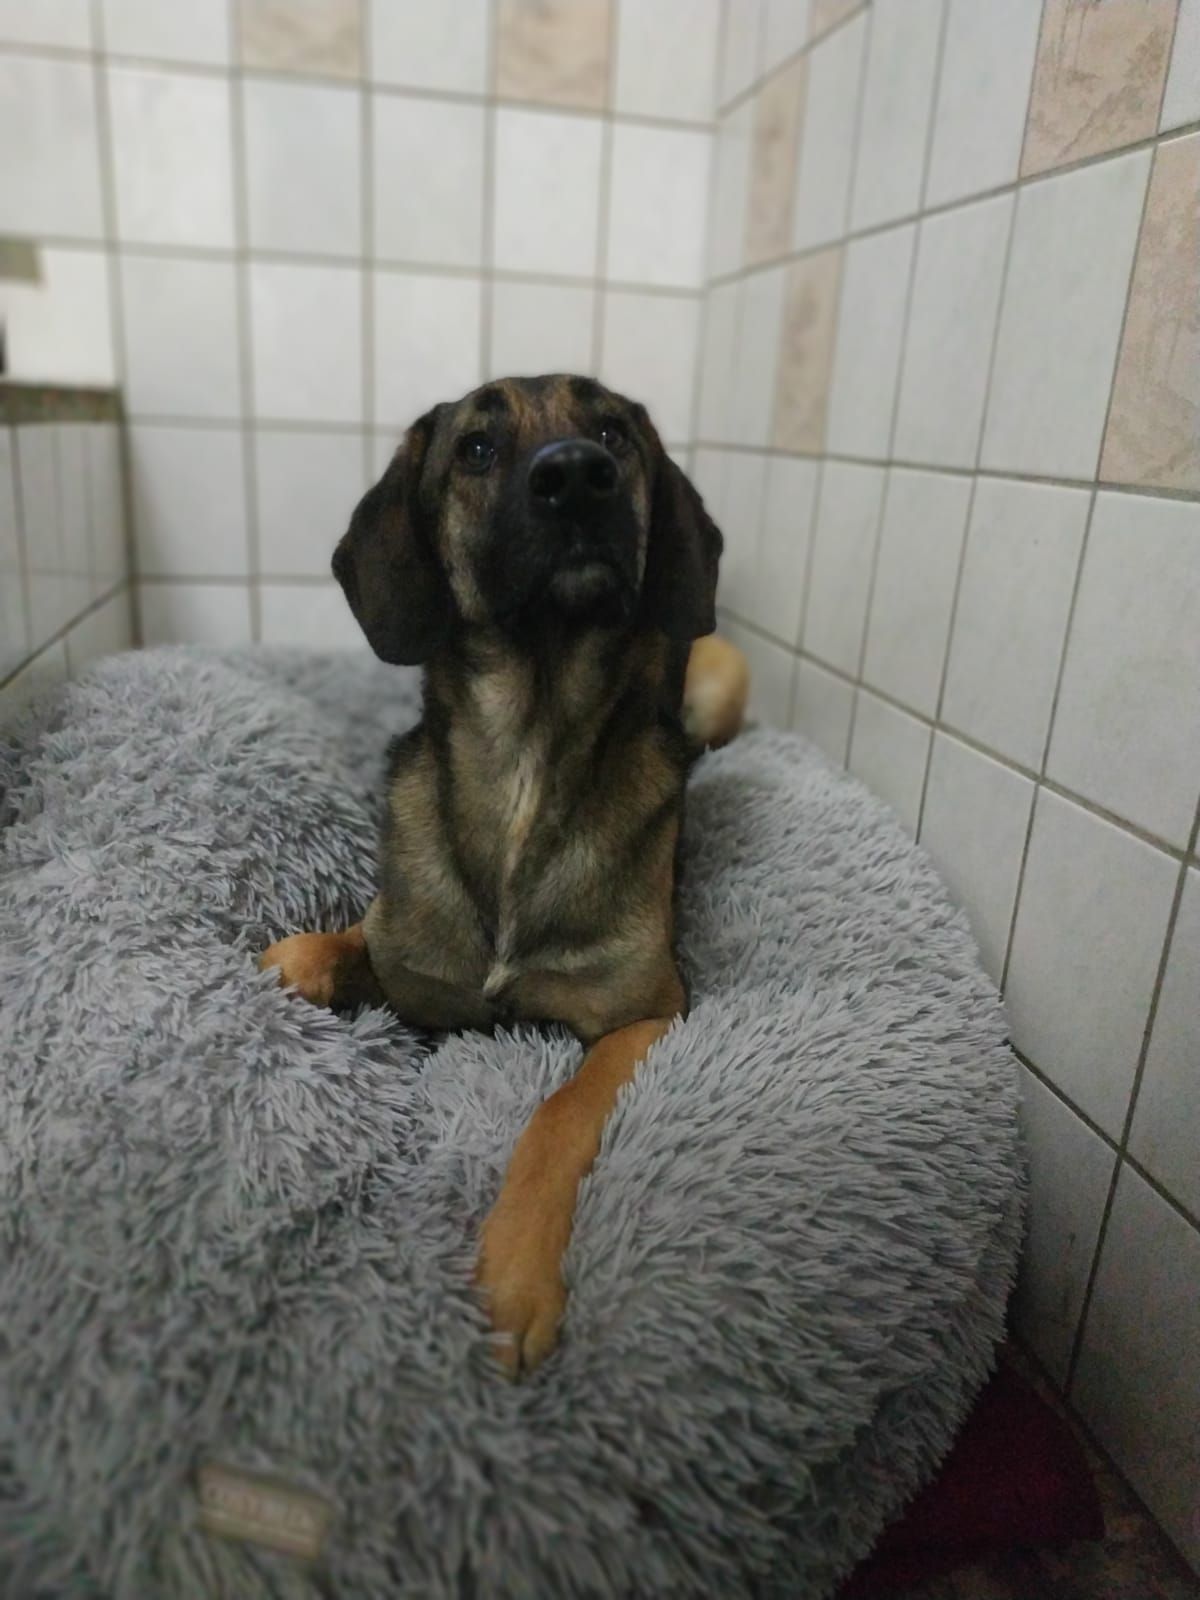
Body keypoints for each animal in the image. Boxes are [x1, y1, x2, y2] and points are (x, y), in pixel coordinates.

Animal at [261, 375, 749, 1375]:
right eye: (476, 449)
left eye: (613, 432)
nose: (577, 476)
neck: (528, 743)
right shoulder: (408, 966)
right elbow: (322, 948)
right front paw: (283, 969)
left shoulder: (647, 1014)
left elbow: (560, 1111)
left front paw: (516, 1274)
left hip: (721, 676)